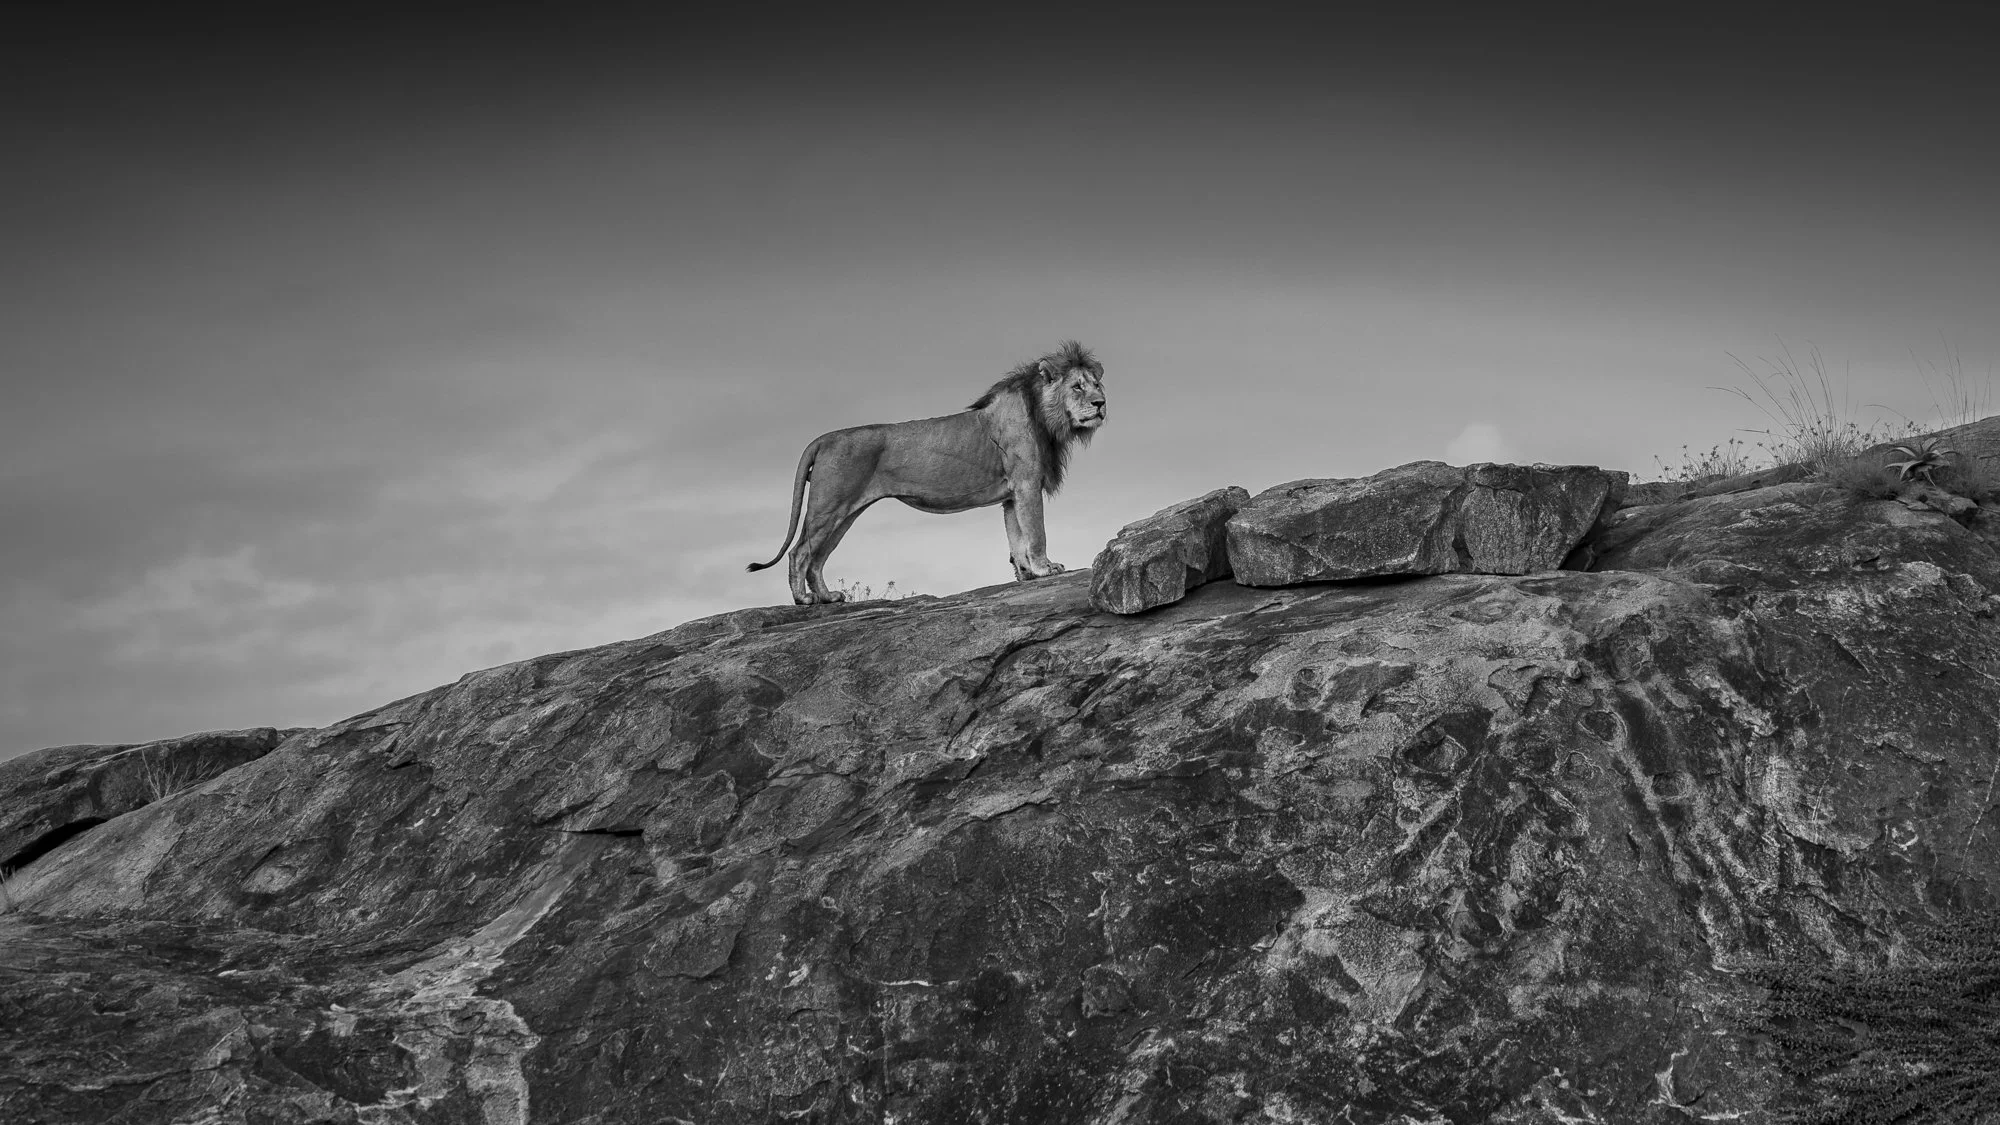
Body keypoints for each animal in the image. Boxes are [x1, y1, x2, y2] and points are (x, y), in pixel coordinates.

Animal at [748, 340, 1108, 605]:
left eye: (1097, 384)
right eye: (1077, 387)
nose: (1101, 404)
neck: (1047, 419)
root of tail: (823, 438)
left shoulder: (1011, 495)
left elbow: (1016, 537)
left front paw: (1027, 574)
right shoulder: (1027, 484)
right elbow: (1036, 532)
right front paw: (1047, 569)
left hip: (845, 514)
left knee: (818, 558)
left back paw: (828, 597)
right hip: (829, 506)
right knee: (799, 553)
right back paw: (803, 600)